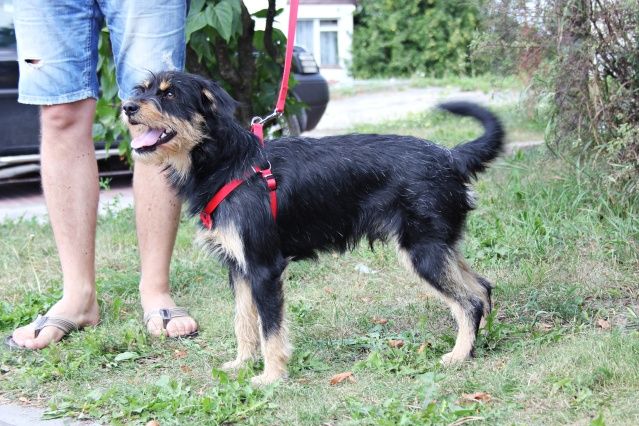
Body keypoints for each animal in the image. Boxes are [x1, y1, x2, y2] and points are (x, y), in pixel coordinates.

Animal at [122, 71, 504, 386]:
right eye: (143, 89)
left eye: (170, 94)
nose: (126, 107)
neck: (227, 163)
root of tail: (450, 157)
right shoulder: (239, 269)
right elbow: (243, 322)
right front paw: (241, 364)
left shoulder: (263, 269)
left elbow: (270, 329)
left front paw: (271, 377)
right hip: (440, 246)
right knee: (482, 288)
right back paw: (481, 340)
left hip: (422, 251)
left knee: (469, 301)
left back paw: (460, 354)